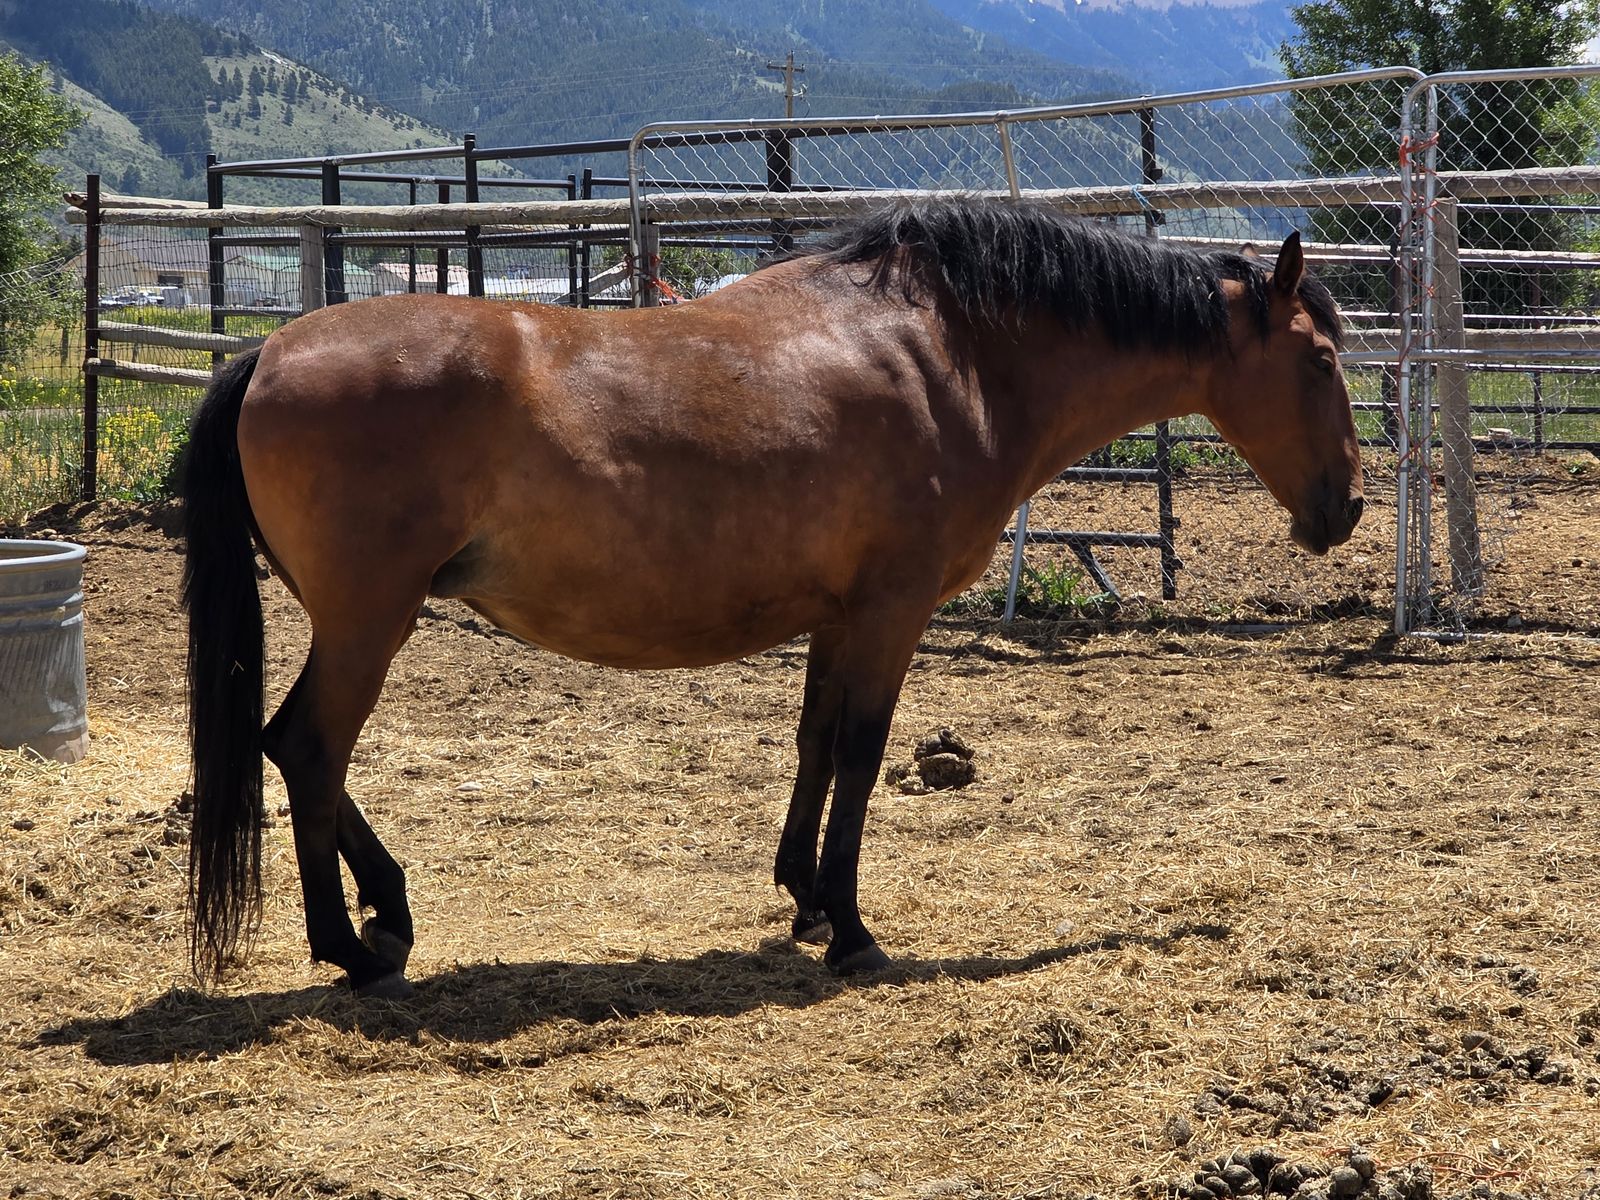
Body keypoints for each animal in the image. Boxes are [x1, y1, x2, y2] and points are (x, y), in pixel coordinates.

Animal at [180, 196, 1363, 998]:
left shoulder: (839, 616)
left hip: (360, 621)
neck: (949, 352)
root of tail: (266, 352)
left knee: (300, 752)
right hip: (368, 622)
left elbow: (814, 744)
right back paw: (352, 944)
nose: (1345, 507)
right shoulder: (890, 613)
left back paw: (388, 914)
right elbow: (861, 755)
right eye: (1317, 361)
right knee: (309, 748)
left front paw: (802, 899)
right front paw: (851, 927)